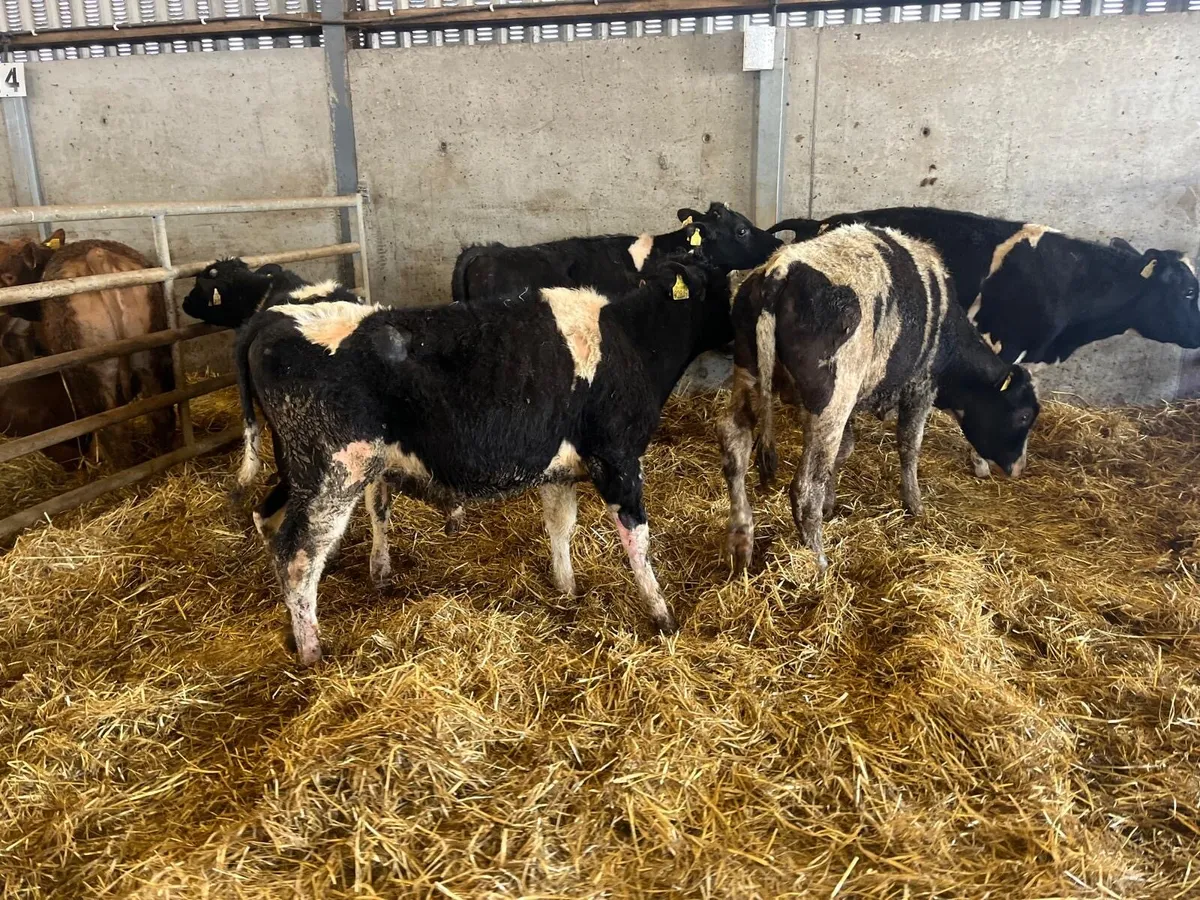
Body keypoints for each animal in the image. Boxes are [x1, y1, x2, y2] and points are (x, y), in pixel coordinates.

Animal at [235, 255, 731, 665]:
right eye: (726, 283)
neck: (630, 338)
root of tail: (274, 317)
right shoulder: (617, 457)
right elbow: (638, 540)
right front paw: (662, 615)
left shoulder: (559, 468)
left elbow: (560, 526)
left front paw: (567, 590)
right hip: (335, 472)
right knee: (297, 557)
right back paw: (312, 651)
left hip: (303, 468)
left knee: (269, 521)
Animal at [719, 225, 1040, 574]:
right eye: (1024, 416)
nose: (1018, 468)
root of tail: (781, 269)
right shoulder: (920, 387)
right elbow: (909, 446)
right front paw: (914, 504)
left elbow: (845, 451)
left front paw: (831, 501)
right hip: (830, 403)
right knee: (804, 487)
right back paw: (818, 561)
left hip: (749, 374)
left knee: (735, 445)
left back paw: (741, 543)